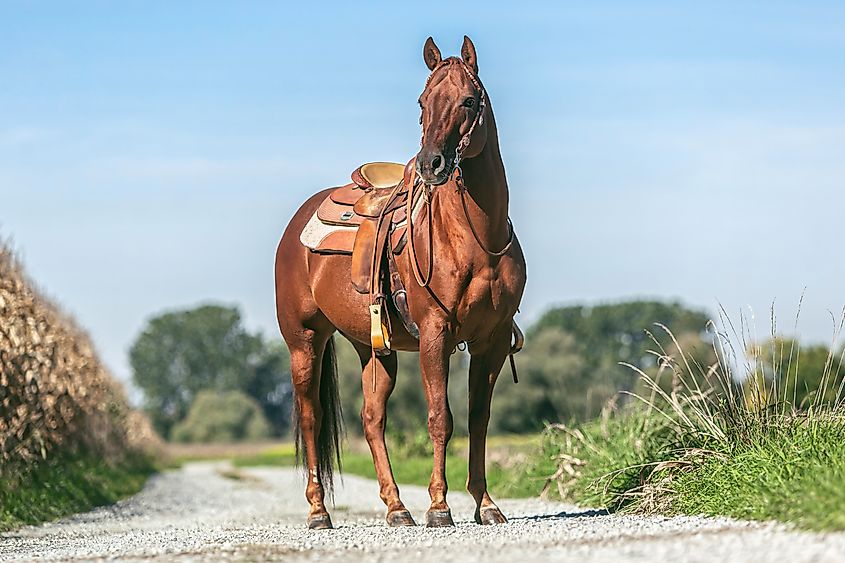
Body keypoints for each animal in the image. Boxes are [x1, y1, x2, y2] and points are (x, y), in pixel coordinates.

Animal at [274, 36, 524, 528]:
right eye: (423, 102)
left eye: (469, 101)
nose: (432, 164)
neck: (476, 239)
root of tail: (296, 224)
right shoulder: (435, 333)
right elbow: (440, 418)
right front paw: (440, 506)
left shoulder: (492, 339)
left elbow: (478, 419)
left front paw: (485, 504)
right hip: (304, 342)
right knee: (311, 417)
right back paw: (318, 511)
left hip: (371, 348)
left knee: (372, 418)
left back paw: (396, 507)